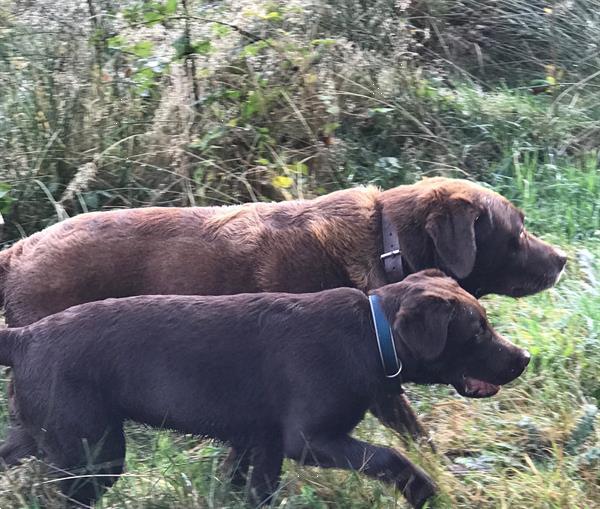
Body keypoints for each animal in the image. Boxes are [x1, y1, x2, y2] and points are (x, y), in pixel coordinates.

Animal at [0, 268, 528, 506]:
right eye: (477, 331)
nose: (523, 358)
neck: (370, 336)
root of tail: (24, 337)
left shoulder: (262, 443)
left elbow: (254, 490)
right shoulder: (309, 440)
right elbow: (389, 455)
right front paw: (422, 488)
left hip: (45, 432)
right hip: (94, 451)